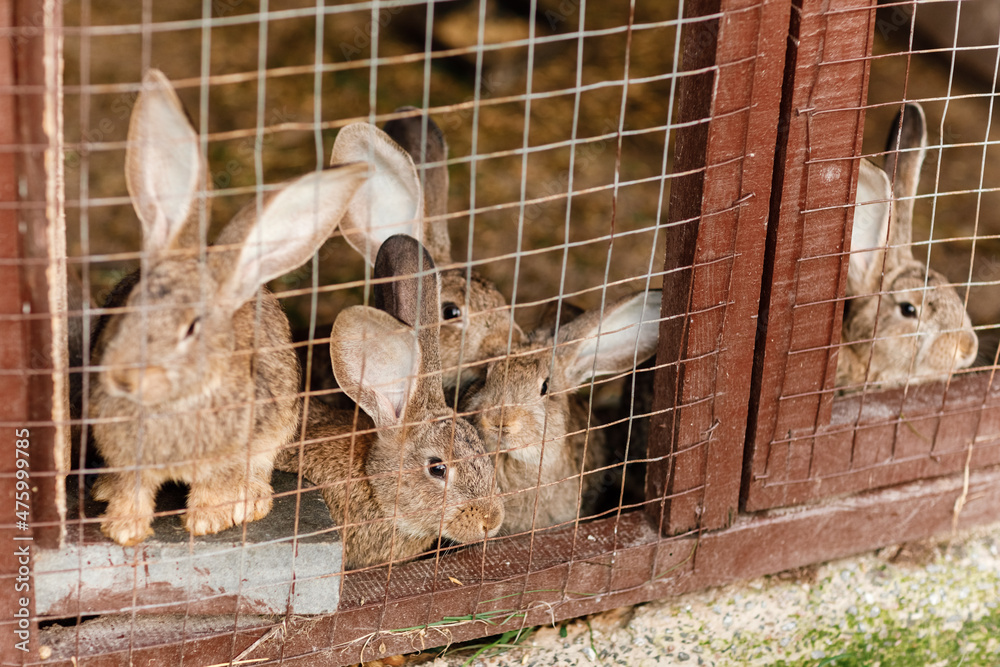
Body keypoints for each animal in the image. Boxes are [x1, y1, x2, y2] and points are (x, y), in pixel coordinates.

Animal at [87, 69, 369, 546]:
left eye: (192, 329)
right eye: (128, 306)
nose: (125, 378)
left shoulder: (237, 448)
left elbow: (216, 485)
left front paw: (208, 521)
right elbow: (133, 489)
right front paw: (123, 529)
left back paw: (252, 502)